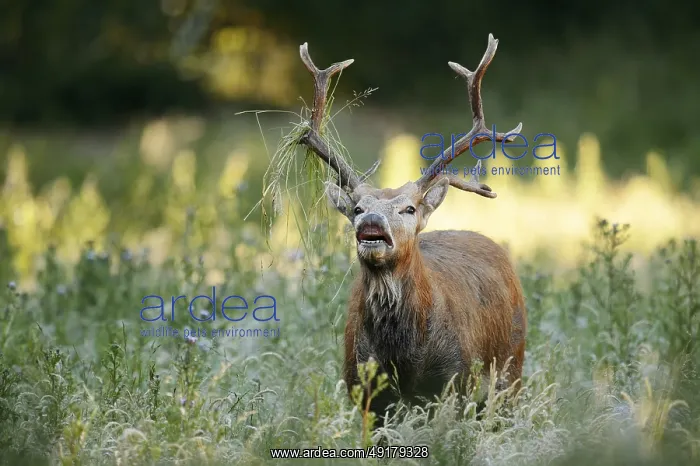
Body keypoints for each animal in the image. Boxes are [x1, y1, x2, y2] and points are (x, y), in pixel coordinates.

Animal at [294, 34, 527, 415]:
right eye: (357, 208)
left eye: (408, 208)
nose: (371, 221)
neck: (401, 359)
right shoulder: (360, 386)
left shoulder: (453, 380)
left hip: (511, 371)